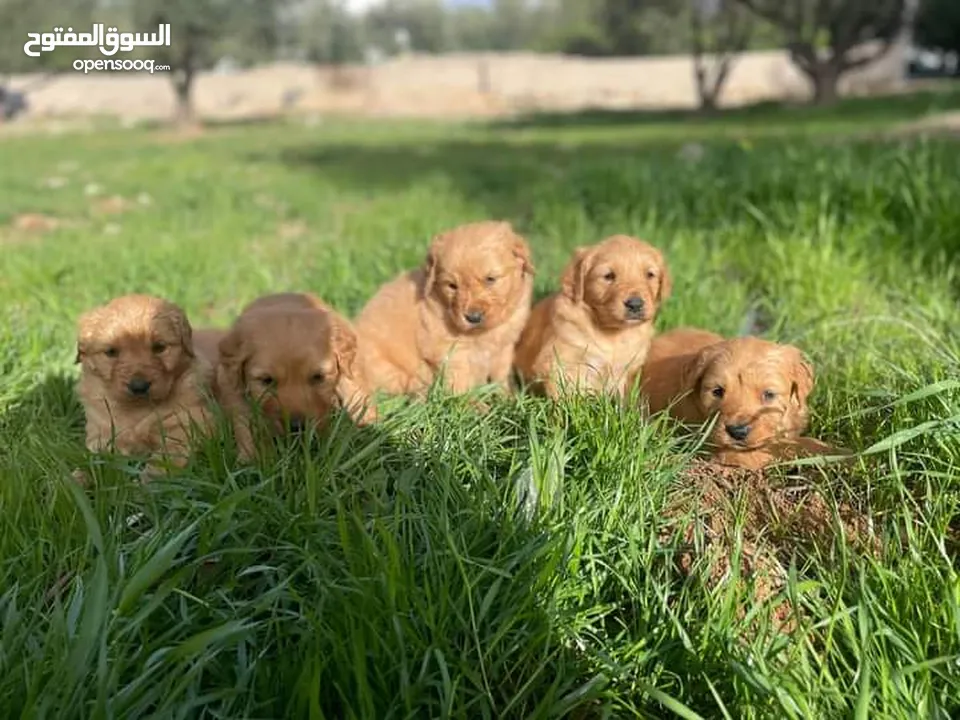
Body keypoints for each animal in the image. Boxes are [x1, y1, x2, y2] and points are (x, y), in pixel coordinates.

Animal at [75, 292, 214, 466]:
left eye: (160, 347)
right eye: (111, 352)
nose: (139, 386)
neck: (137, 410)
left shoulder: (189, 425)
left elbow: (166, 457)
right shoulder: (102, 433)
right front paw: (79, 473)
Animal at [214, 292, 376, 456]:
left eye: (318, 377)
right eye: (267, 380)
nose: (297, 427)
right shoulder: (229, 383)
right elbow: (244, 420)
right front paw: (254, 456)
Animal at [354, 221, 536, 396]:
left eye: (490, 279)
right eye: (452, 286)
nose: (473, 318)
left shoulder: (504, 348)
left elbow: (501, 377)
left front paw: (508, 397)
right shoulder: (451, 351)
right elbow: (460, 385)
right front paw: (474, 404)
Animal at [516, 235, 668, 400]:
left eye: (649, 275)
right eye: (609, 276)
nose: (635, 304)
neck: (612, 333)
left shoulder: (629, 368)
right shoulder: (559, 361)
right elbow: (567, 397)